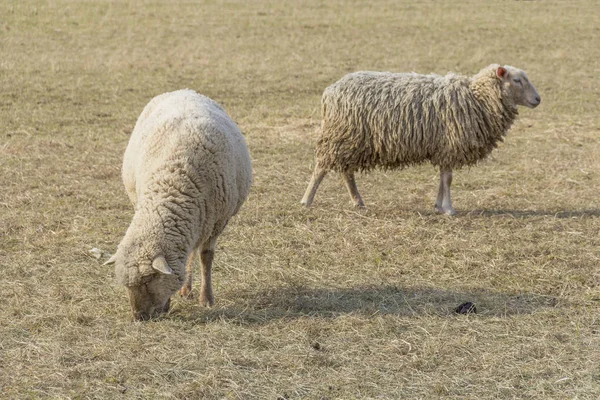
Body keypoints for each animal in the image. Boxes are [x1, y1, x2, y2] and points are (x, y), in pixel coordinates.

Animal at [104, 89, 252, 320]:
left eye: (148, 279)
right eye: (127, 285)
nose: (139, 318)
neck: (173, 184)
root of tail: (183, 91)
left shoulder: (217, 222)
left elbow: (206, 258)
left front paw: (206, 299)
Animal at [302, 65, 540, 216]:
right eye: (517, 80)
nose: (538, 99)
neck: (477, 98)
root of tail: (330, 91)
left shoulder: (443, 148)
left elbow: (443, 178)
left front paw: (439, 205)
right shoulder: (449, 145)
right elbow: (448, 179)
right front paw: (449, 209)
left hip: (352, 141)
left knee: (347, 172)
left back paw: (357, 201)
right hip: (340, 136)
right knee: (321, 168)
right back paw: (306, 200)